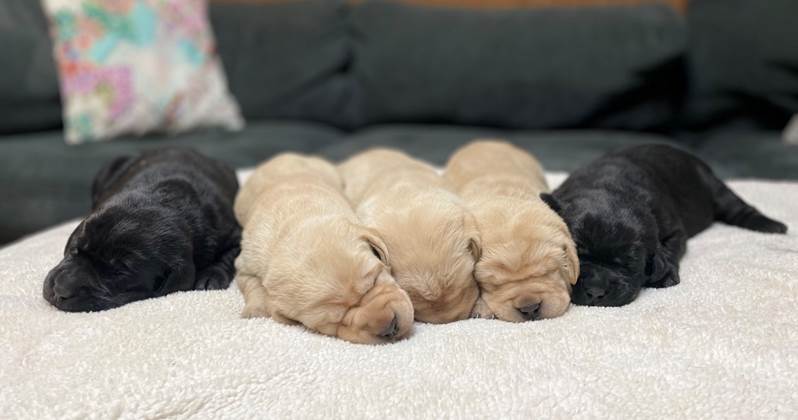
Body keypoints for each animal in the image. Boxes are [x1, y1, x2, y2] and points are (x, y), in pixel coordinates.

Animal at [42, 148, 242, 312]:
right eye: (74, 248)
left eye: (120, 271)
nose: (60, 289)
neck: (168, 201)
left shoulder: (233, 231)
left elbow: (230, 256)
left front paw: (211, 276)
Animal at [234, 154, 416, 344]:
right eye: (333, 322)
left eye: (374, 281)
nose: (390, 328)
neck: (296, 221)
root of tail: (280, 156)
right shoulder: (244, 264)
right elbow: (251, 284)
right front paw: (254, 310)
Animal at [540, 143, 792, 306]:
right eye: (576, 256)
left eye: (630, 263)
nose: (595, 292)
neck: (610, 187)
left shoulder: (674, 229)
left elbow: (671, 248)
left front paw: (665, 273)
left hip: (714, 188)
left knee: (738, 208)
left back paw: (772, 226)